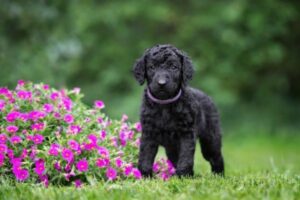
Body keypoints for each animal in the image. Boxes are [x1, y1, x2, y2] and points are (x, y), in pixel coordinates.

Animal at [132, 44, 224, 177]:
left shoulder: (187, 133)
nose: (161, 83)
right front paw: (145, 176)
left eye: (173, 67)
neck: (164, 105)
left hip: (210, 139)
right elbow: (145, 156)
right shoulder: (149, 134)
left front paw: (182, 175)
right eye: (152, 67)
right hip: (171, 148)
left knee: (215, 157)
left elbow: (185, 157)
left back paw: (218, 175)